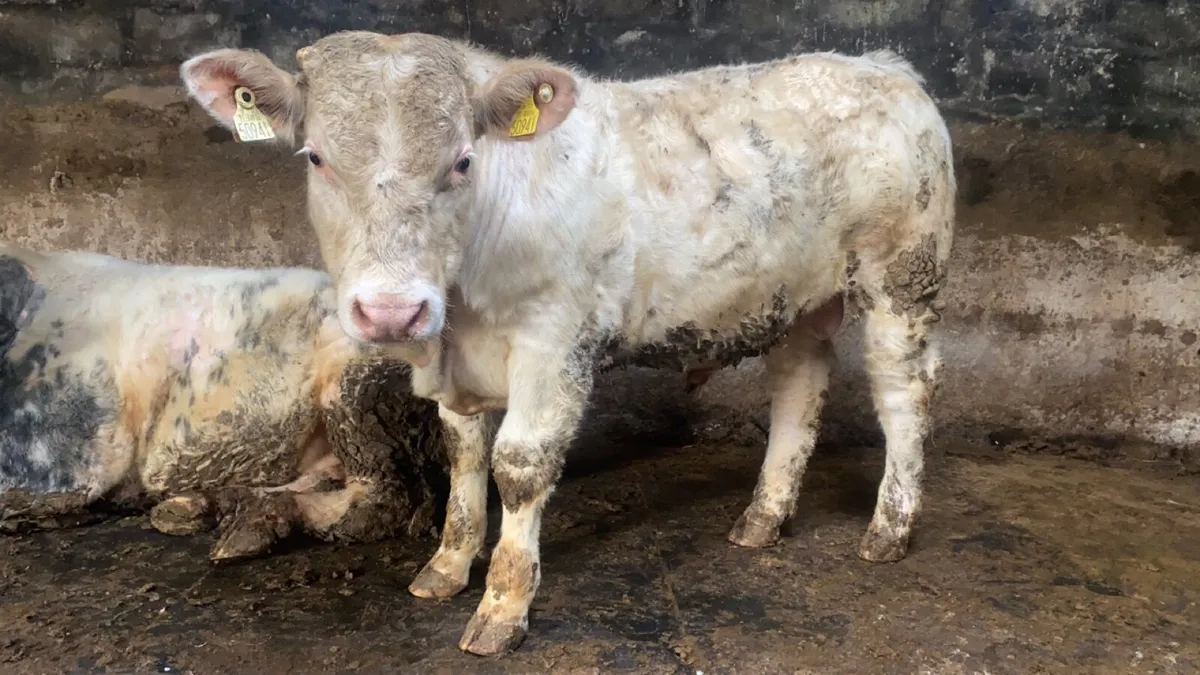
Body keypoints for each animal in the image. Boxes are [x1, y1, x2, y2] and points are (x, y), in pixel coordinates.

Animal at [181, 31, 956, 655]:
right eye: (315, 156)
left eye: (463, 161)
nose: (392, 312)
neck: (465, 304)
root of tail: (884, 66)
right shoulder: (456, 368)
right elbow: (464, 457)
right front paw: (445, 568)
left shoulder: (555, 344)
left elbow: (519, 466)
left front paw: (502, 607)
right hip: (798, 297)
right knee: (799, 387)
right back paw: (763, 516)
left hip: (902, 277)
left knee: (904, 396)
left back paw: (890, 527)